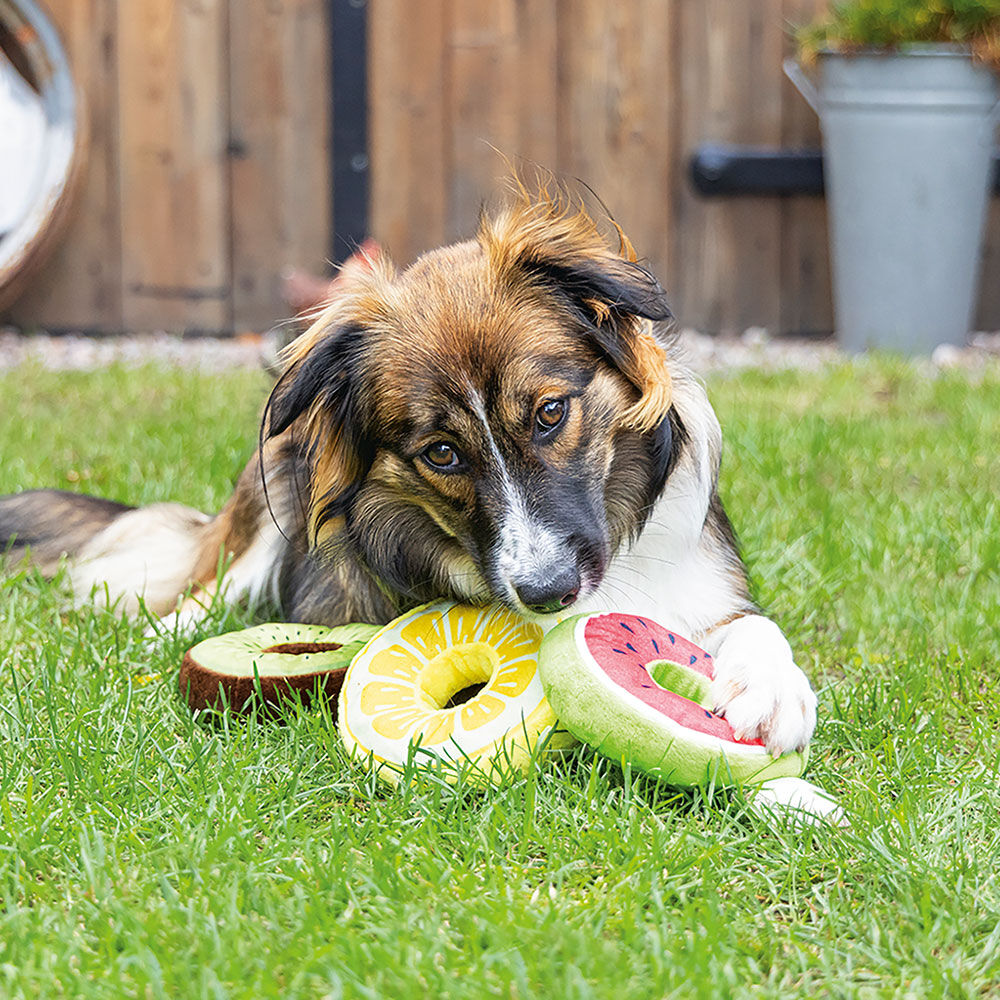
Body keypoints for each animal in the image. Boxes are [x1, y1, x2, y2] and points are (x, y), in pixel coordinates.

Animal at [0, 184, 812, 752]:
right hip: (268, 496)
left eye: (551, 413)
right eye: (441, 454)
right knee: (205, 586)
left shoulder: (705, 589)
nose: (547, 592)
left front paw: (774, 692)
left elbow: (752, 626)